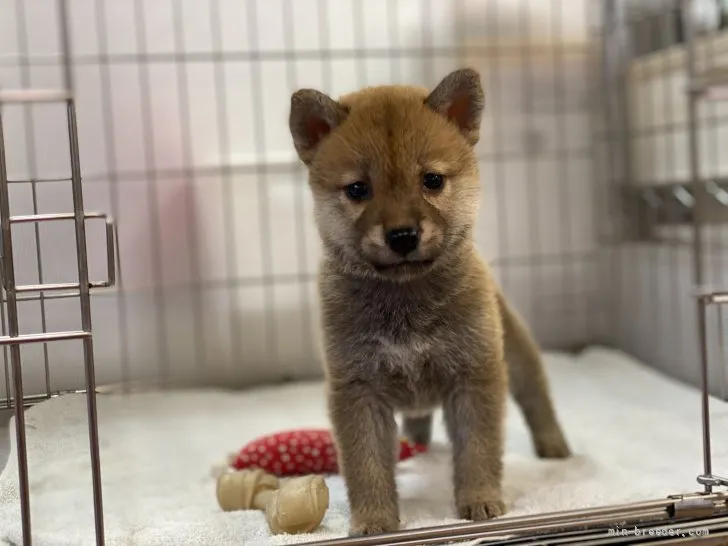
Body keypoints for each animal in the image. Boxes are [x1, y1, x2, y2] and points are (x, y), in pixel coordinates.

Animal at [288, 69, 572, 536]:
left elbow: (477, 449)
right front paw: (375, 521)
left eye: (433, 181)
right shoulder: (358, 390)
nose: (403, 235)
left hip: (516, 353)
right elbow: (367, 464)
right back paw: (416, 442)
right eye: (358, 189)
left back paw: (554, 445)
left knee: (537, 399)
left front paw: (480, 501)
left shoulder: (475, 376)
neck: (406, 300)